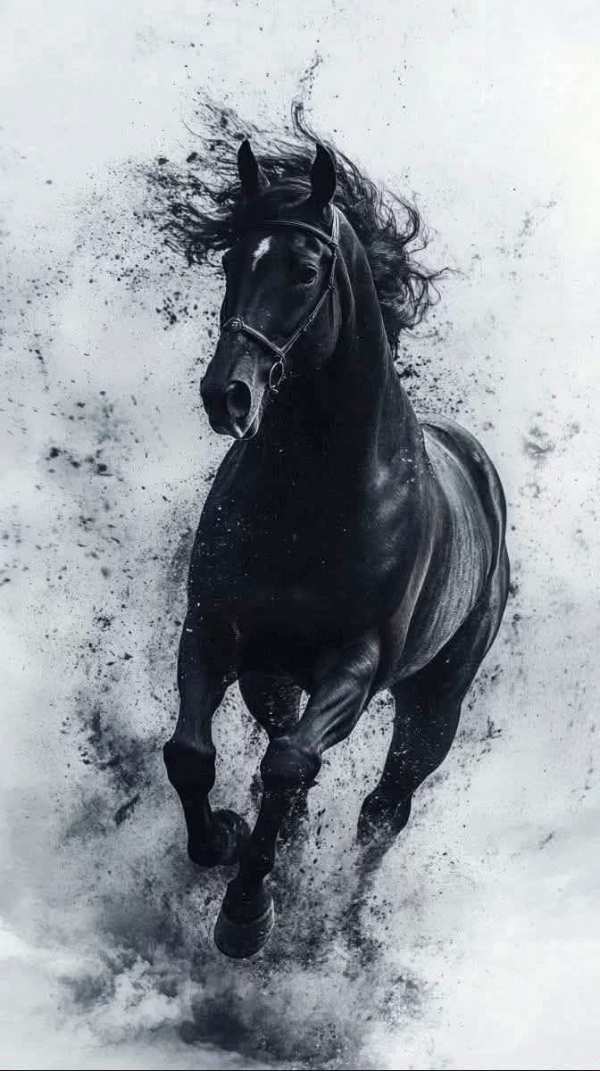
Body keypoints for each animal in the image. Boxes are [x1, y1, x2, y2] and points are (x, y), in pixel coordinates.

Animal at [162, 133, 510, 959]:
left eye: (304, 269)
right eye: (231, 258)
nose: (227, 395)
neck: (313, 498)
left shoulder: (354, 666)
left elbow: (291, 765)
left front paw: (245, 915)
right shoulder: (213, 631)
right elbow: (192, 755)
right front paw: (223, 838)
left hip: (432, 705)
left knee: (382, 808)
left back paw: (341, 923)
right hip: (272, 677)